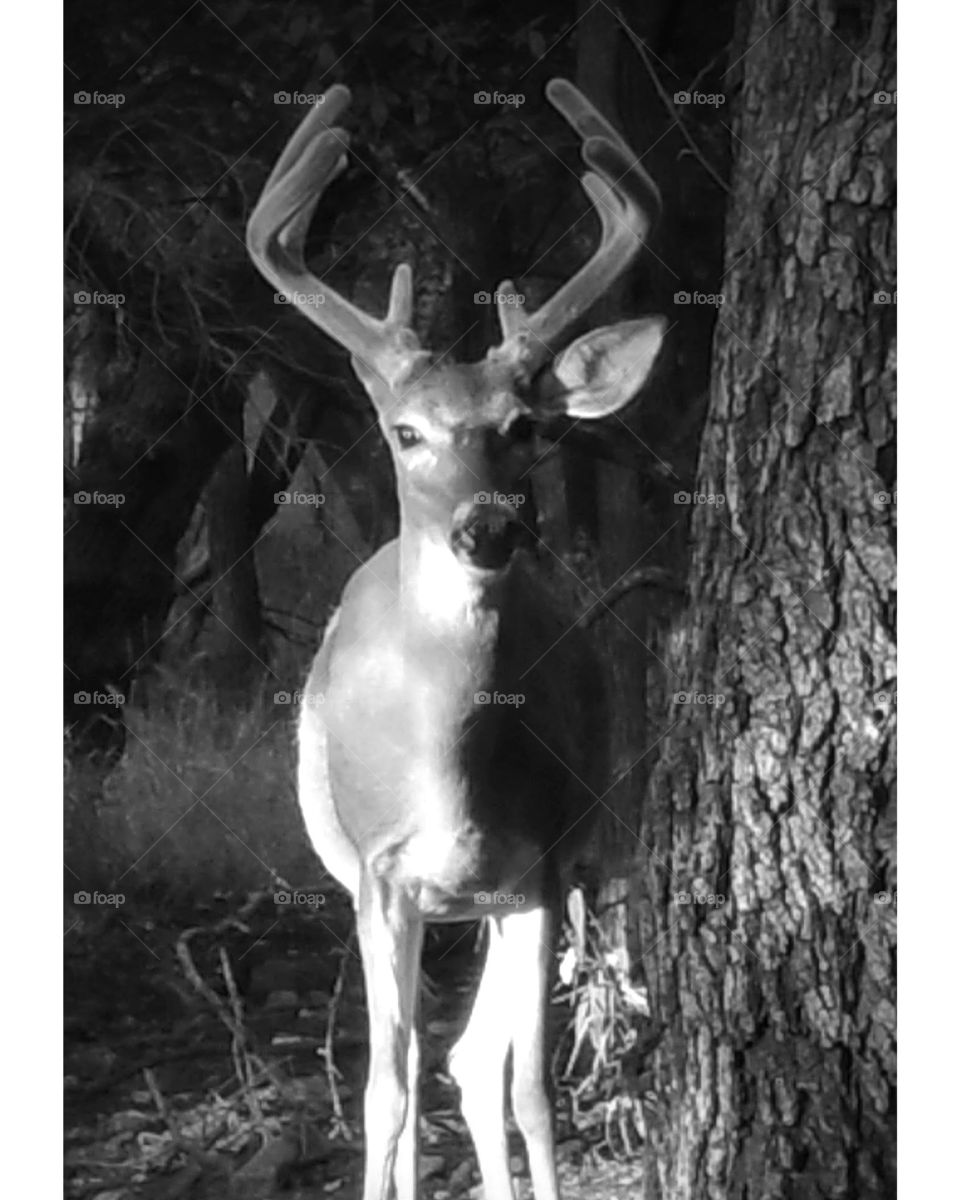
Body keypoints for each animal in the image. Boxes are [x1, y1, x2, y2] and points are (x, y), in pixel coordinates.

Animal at [246, 78, 664, 1200]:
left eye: (523, 427)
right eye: (406, 432)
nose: (486, 529)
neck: (453, 771)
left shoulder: (543, 865)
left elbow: (529, 1091)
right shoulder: (381, 873)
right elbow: (385, 1096)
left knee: (478, 1067)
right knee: (417, 1077)